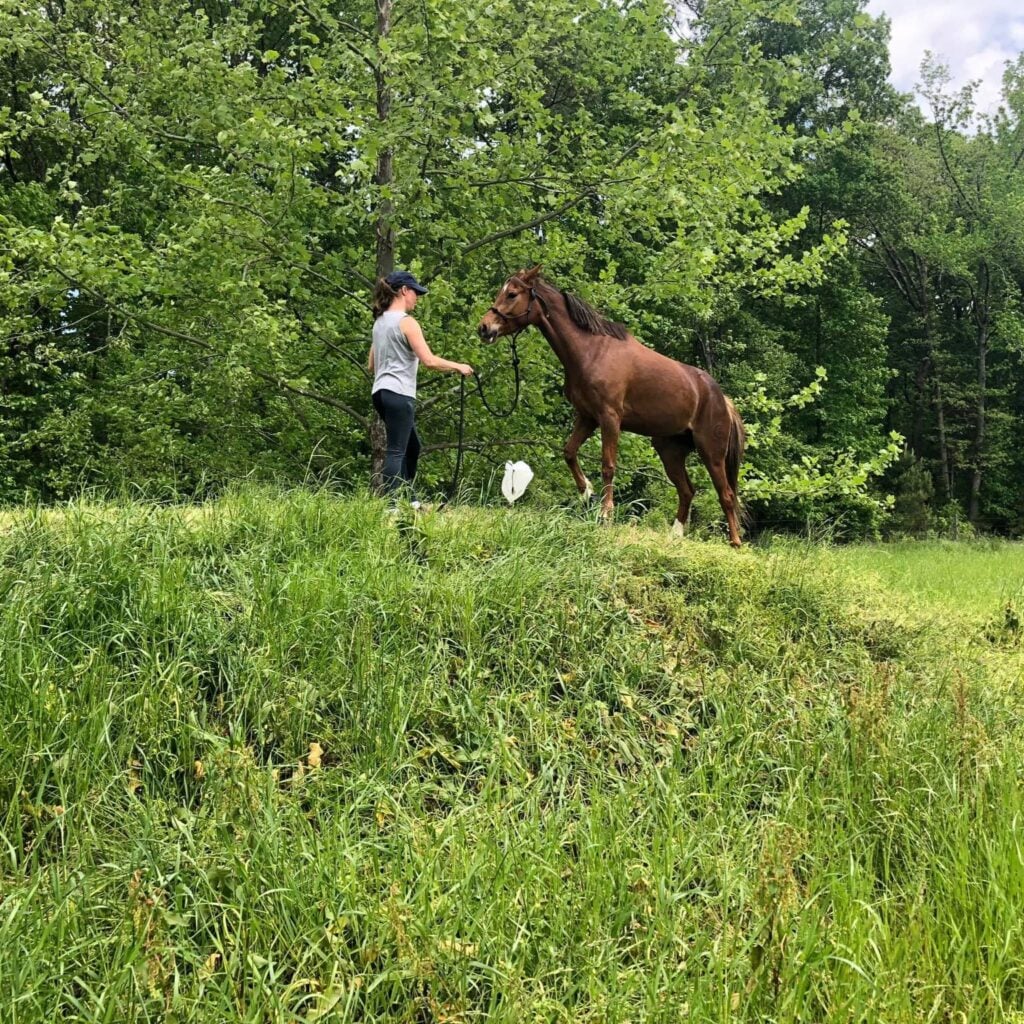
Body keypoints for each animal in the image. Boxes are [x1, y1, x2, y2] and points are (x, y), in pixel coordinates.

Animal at [477, 266, 745, 546]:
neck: (592, 351)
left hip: (711, 452)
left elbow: (608, 466)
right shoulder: (587, 417)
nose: (484, 328)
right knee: (687, 490)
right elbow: (569, 452)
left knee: (726, 494)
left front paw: (606, 514)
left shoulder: (610, 419)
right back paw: (676, 534)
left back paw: (735, 542)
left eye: (512, 294)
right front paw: (587, 493)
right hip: (670, 451)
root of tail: (722, 399)